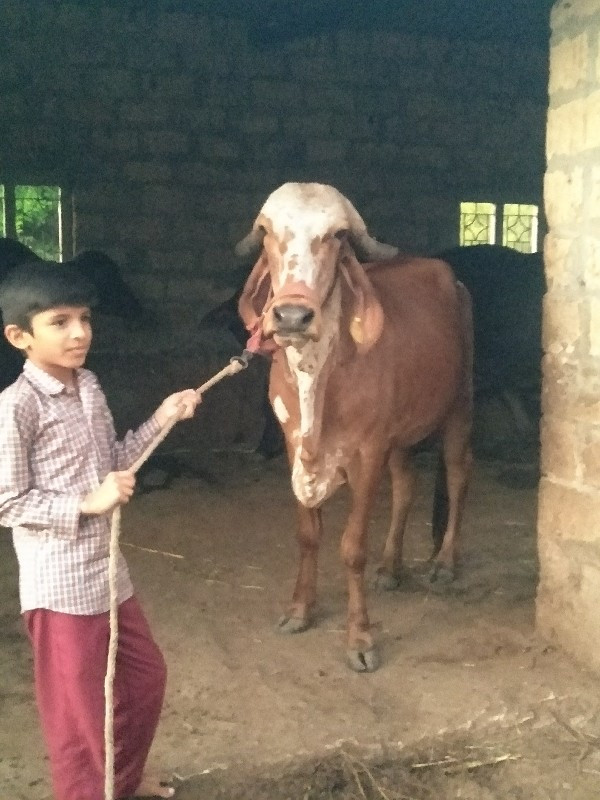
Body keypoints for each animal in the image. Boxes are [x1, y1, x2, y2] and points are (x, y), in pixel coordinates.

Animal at [234, 184, 474, 672]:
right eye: (267, 231)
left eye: (338, 235)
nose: (291, 316)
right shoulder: (295, 447)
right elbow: (308, 536)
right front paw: (300, 610)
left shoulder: (368, 452)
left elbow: (351, 548)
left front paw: (360, 638)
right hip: (401, 434)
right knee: (406, 484)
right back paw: (391, 567)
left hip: (459, 404)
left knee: (458, 475)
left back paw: (443, 563)